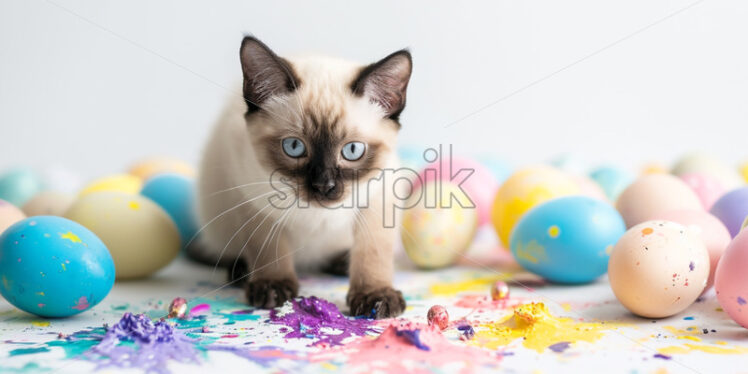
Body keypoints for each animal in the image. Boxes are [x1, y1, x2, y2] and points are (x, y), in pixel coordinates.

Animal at [193, 36, 412, 318]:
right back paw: (240, 270)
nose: (324, 185)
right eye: (294, 147)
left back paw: (340, 263)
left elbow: (372, 253)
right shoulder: (253, 197)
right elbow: (269, 248)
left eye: (352, 151)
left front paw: (375, 296)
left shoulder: (378, 197)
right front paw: (272, 286)